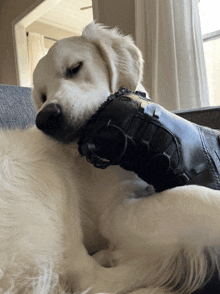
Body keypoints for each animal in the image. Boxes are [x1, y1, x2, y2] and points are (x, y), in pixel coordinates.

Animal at [0, 22, 220, 294]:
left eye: (74, 68)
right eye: (42, 96)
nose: (45, 118)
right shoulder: (114, 213)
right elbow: (195, 196)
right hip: (48, 172)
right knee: (90, 278)